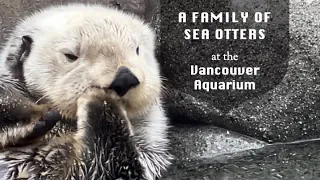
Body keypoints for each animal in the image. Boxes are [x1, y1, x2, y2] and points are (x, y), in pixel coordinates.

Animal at [0, 3, 171, 180]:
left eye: (137, 50)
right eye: (70, 55)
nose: (124, 79)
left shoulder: (147, 152)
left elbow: (114, 167)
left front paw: (100, 101)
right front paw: (34, 115)